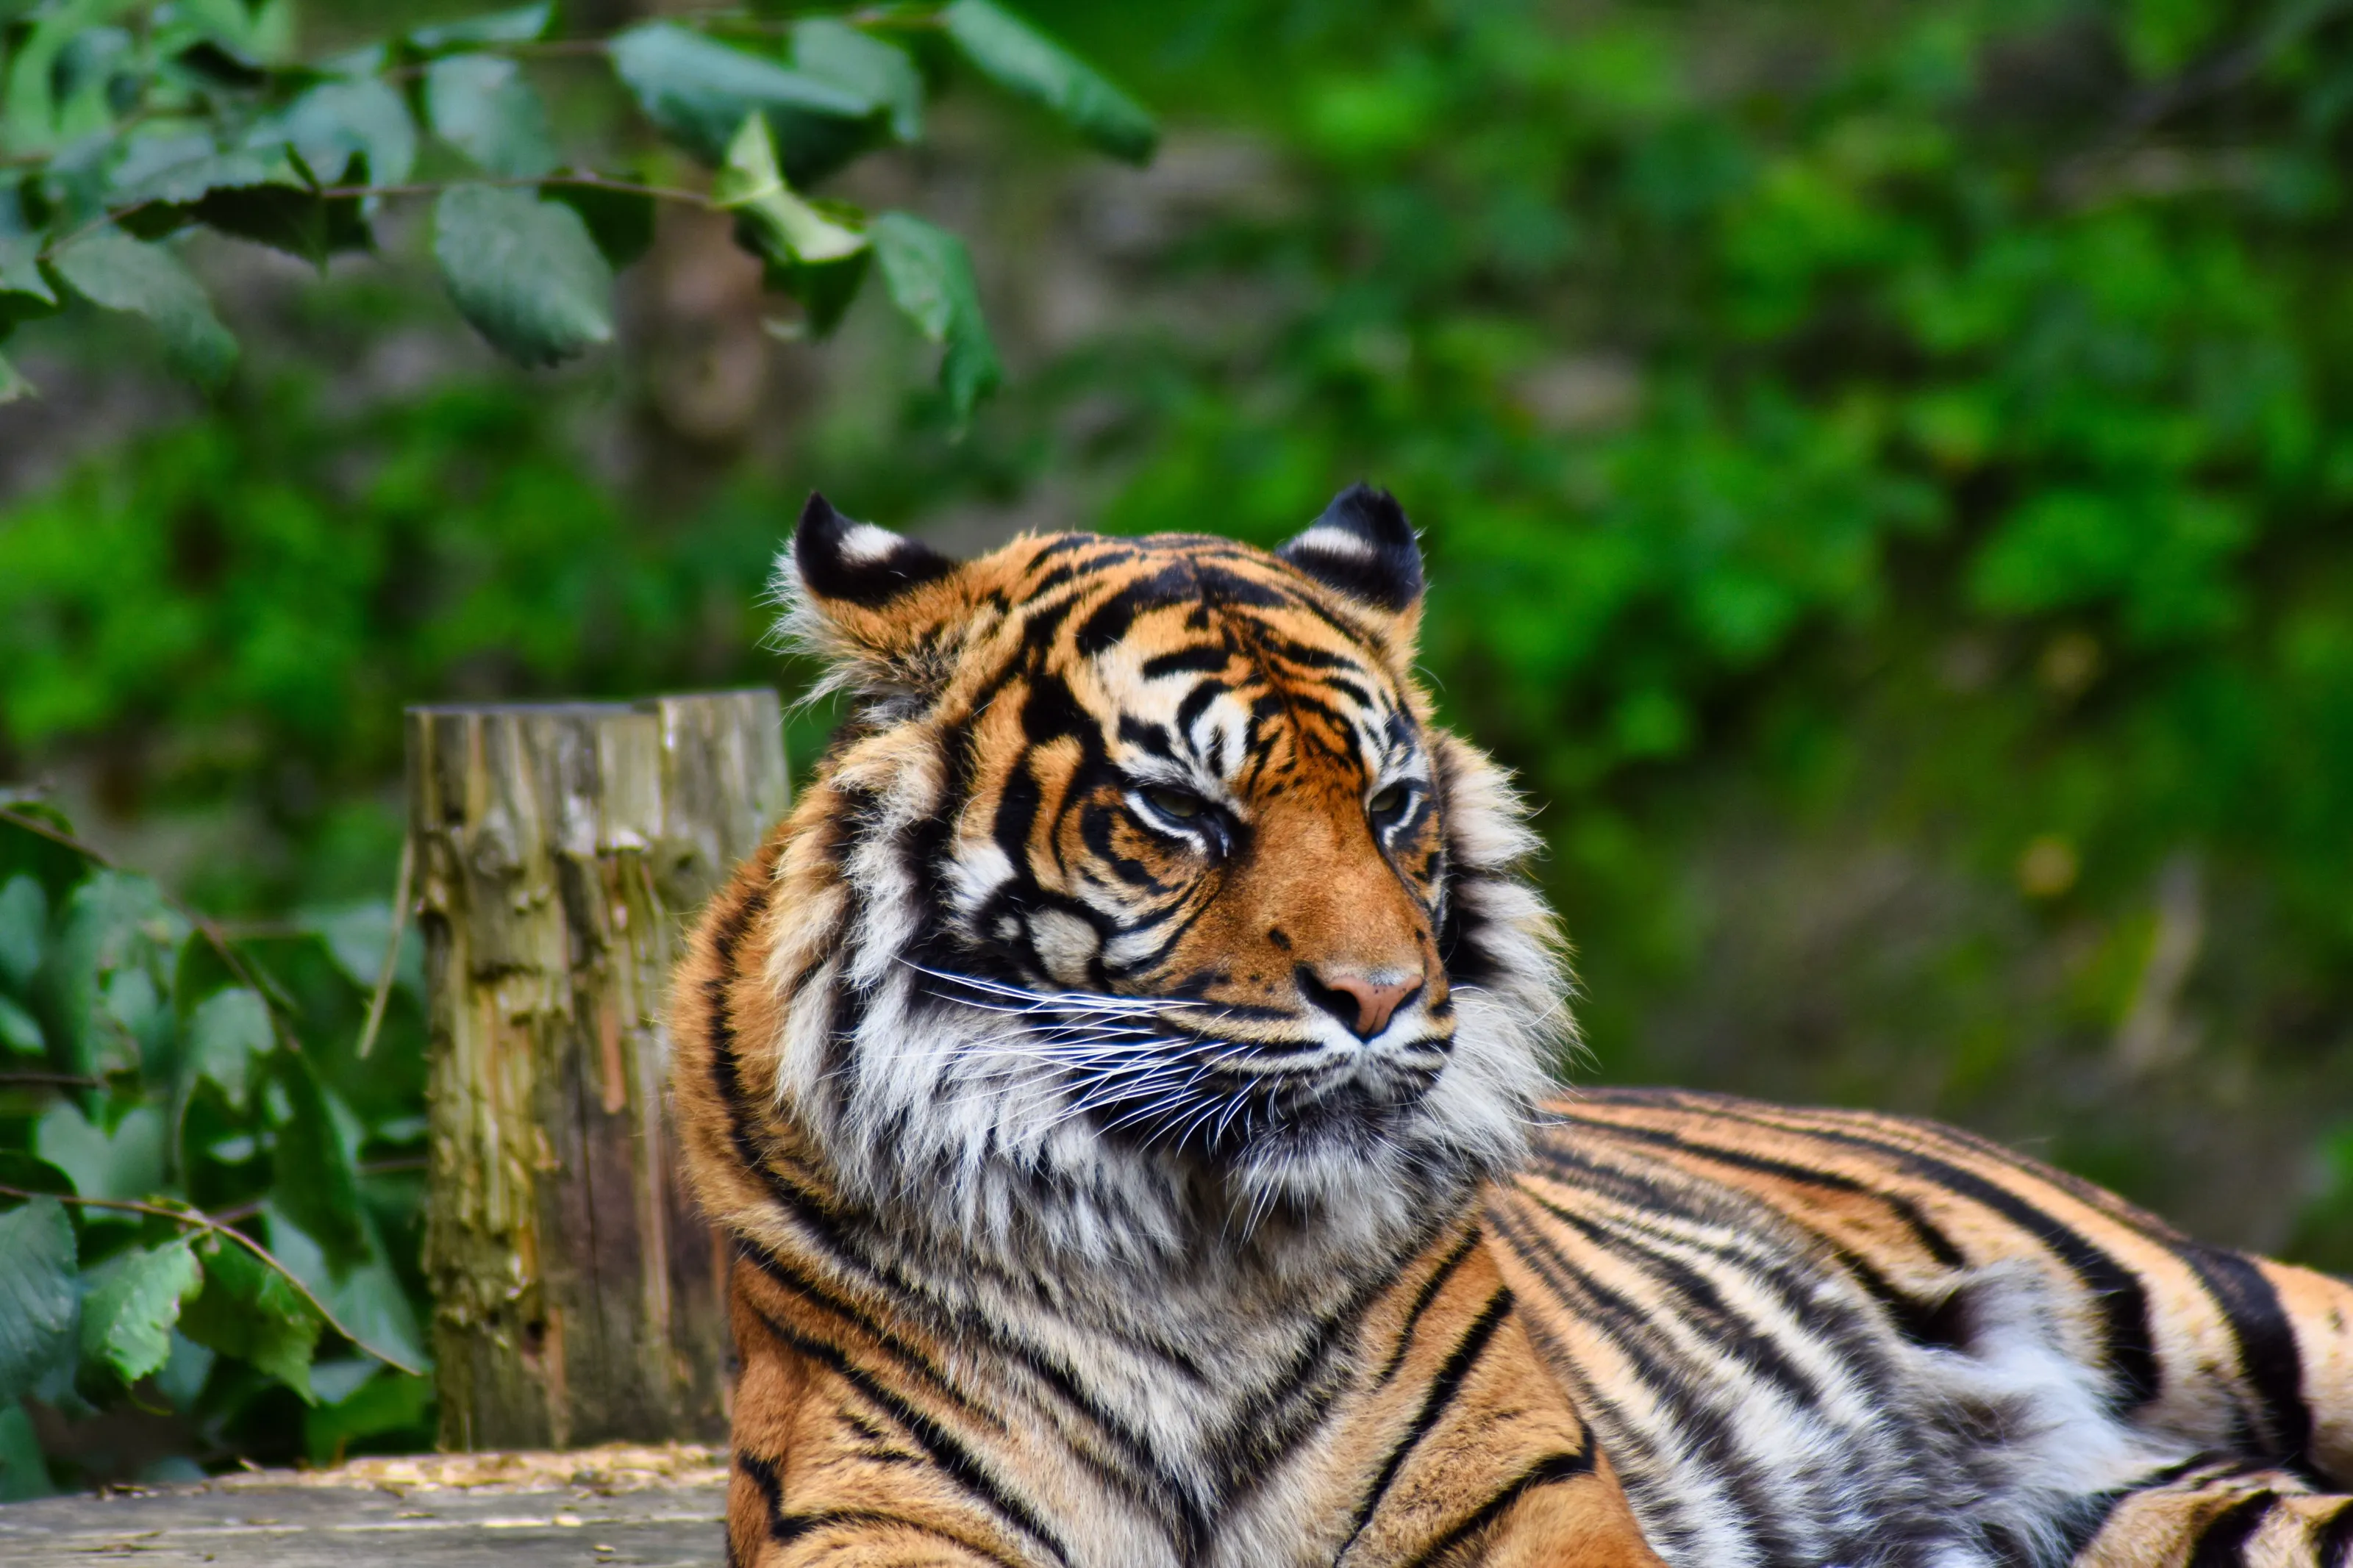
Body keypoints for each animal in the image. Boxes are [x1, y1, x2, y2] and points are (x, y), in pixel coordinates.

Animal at [668, 485, 2353, 1568]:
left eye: (1391, 803)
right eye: (1183, 813)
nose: (1380, 996)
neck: (1191, 1243)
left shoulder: (1533, 1502)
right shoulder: (881, 1509)